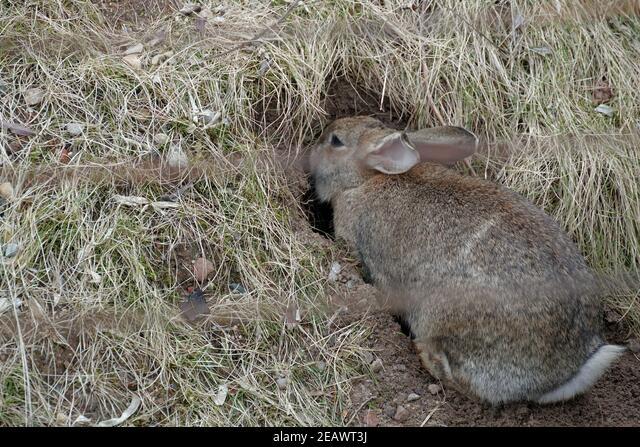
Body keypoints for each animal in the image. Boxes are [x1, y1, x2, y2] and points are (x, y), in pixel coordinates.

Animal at [309, 115, 625, 405]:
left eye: (335, 141)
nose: (312, 149)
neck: (367, 179)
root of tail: (565, 373)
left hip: (445, 316)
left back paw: (425, 355)